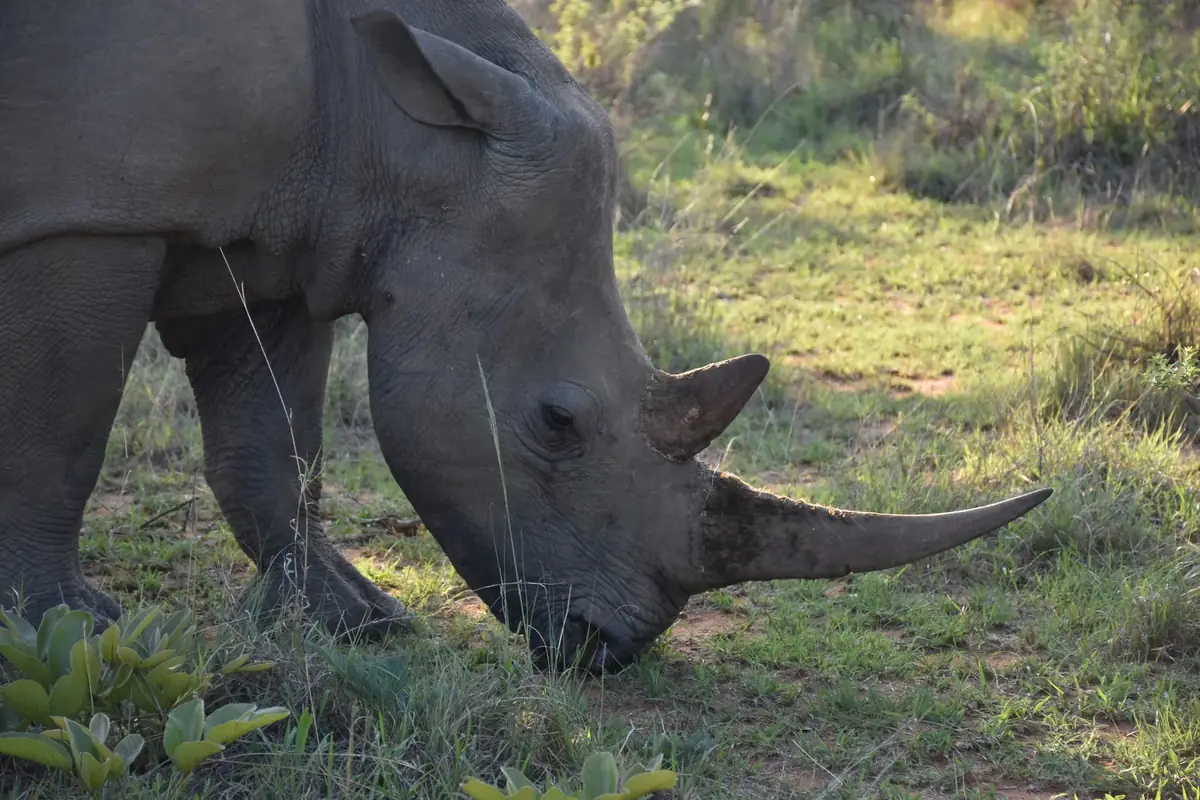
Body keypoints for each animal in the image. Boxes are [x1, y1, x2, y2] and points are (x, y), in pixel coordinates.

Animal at [0, 0, 1050, 672]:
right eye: (557, 421)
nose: (609, 650)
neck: (389, 122)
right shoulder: (91, 216)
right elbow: (61, 429)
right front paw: (68, 631)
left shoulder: (280, 231)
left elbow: (272, 444)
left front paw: (360, 622)